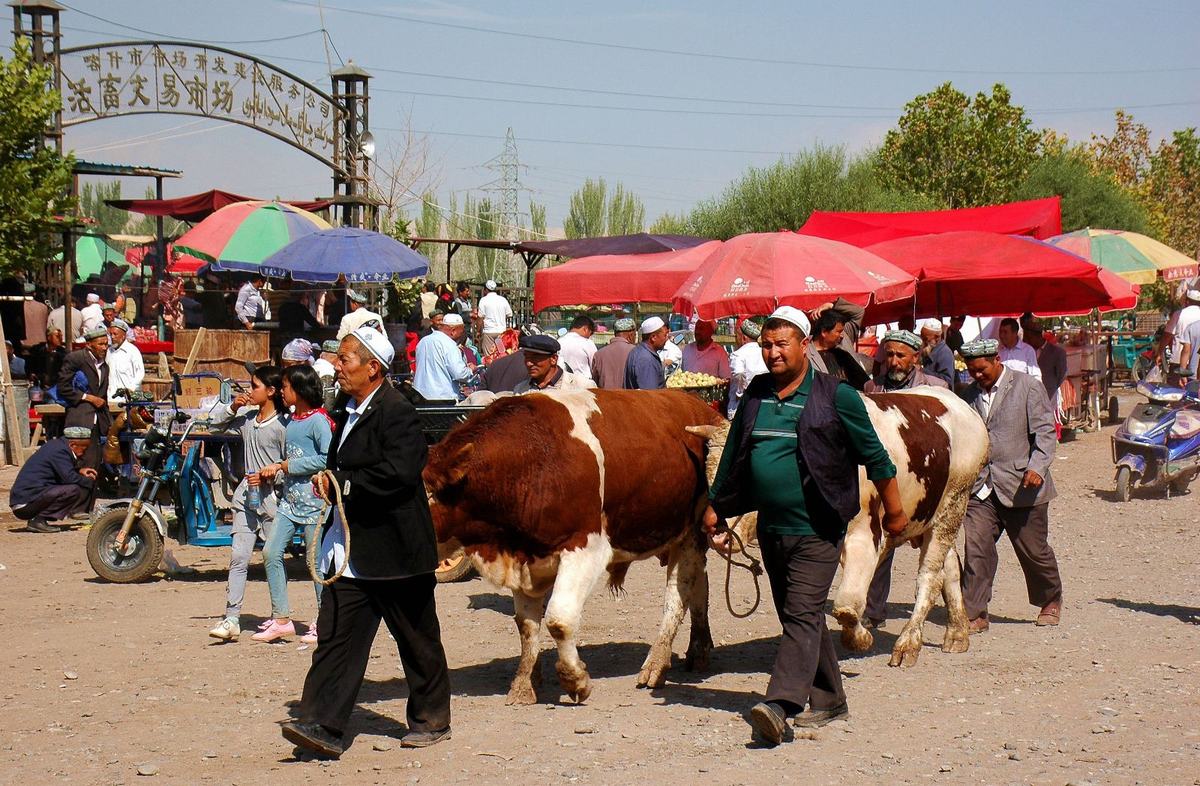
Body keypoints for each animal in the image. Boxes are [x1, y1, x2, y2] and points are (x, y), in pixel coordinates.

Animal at [422, 391, 720, 705]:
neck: (530, 461)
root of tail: (696, 403)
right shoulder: (523, 558)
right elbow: (527, 625)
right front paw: (524, 683)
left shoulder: (585, 550)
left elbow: (559, 620)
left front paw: (574, 679)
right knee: (700, 584)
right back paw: (699, 648)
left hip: (690, 533)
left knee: (678, 592)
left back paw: (656, 663)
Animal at [691, 384, 988, 667]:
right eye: (709, 475)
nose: (719, 536)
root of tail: (961, 406)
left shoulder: (865, 537)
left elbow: (847, 604)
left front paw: (860, 638)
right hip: (932, 518)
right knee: (949, 569)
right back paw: (957, 633)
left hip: (953, 506)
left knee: (929, 576)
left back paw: (908, 644)